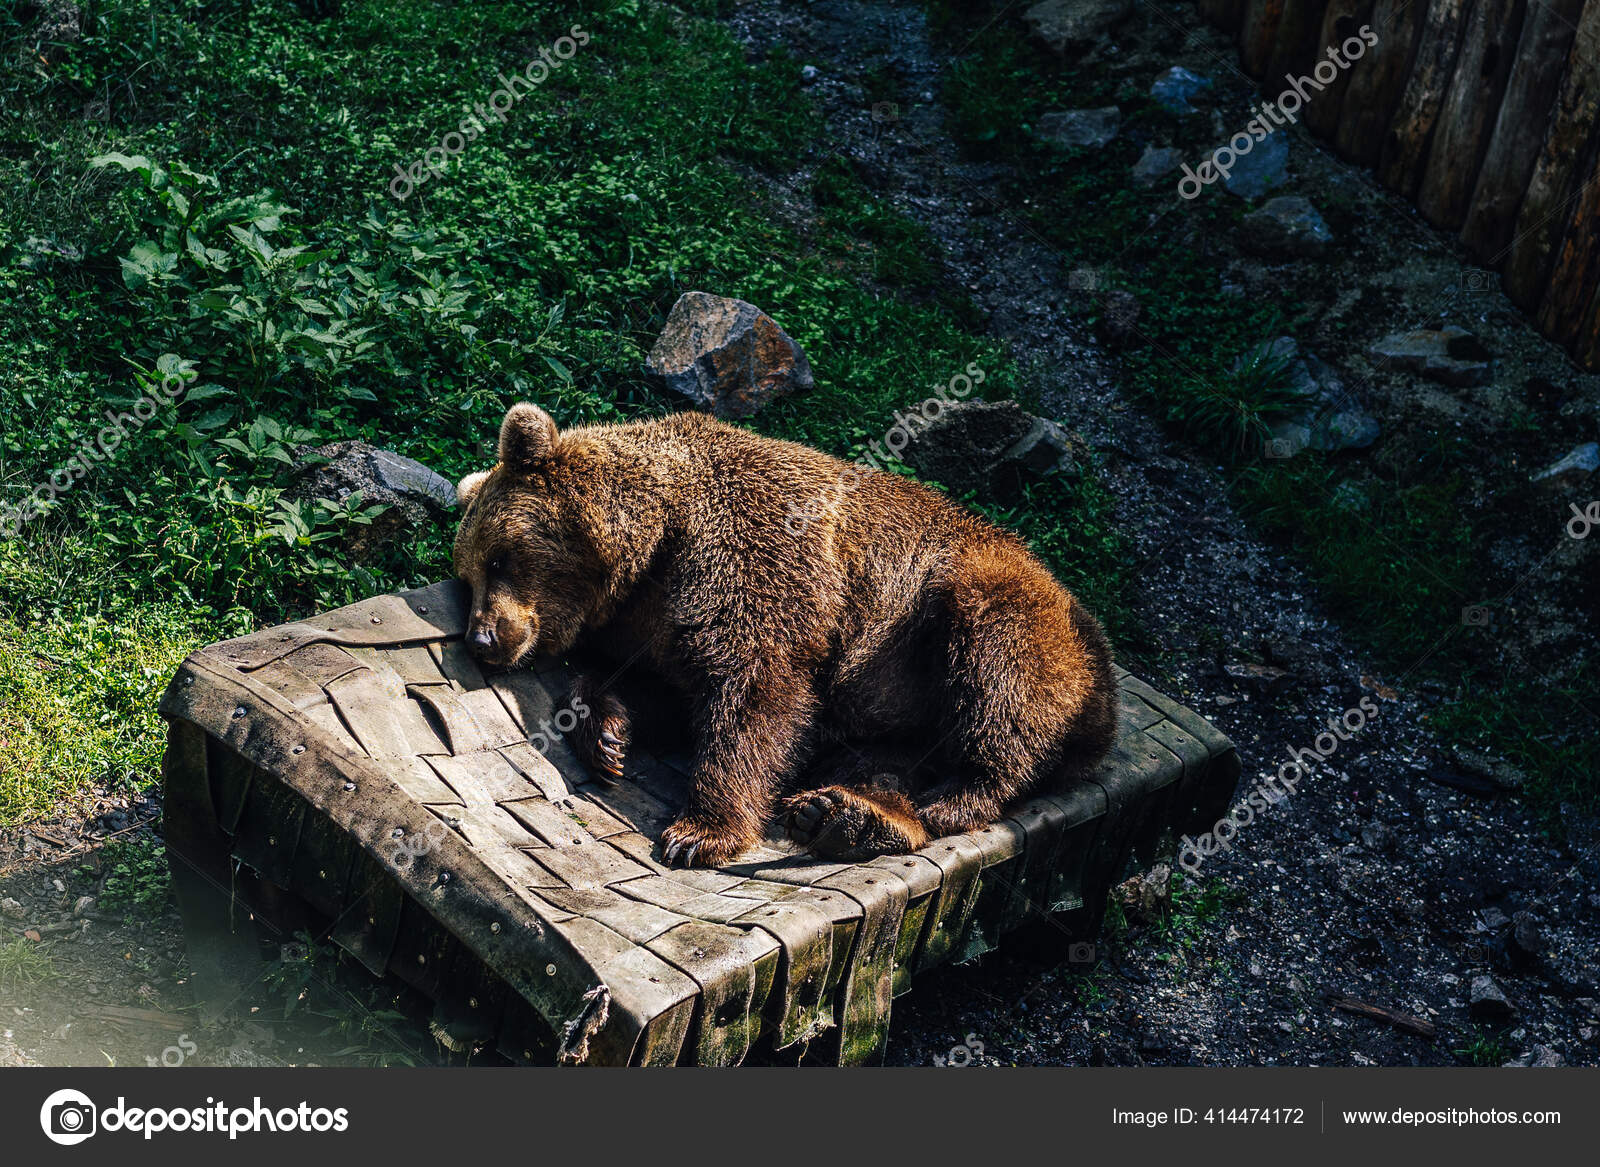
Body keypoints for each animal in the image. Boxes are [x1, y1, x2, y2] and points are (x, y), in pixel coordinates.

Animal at [453, 401, 1118, 868]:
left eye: (498, 558)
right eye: (467, 573)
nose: (482, 638)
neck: (651, 550)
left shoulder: (749, 550)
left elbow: (757, 687)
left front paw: (699, 832)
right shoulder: (651, 624)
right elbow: (666, 692)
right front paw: (607, 733)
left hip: (985, 610)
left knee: (998, 679)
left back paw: (946, 797)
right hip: (894, 715)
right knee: (885, 763)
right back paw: (843, 815)